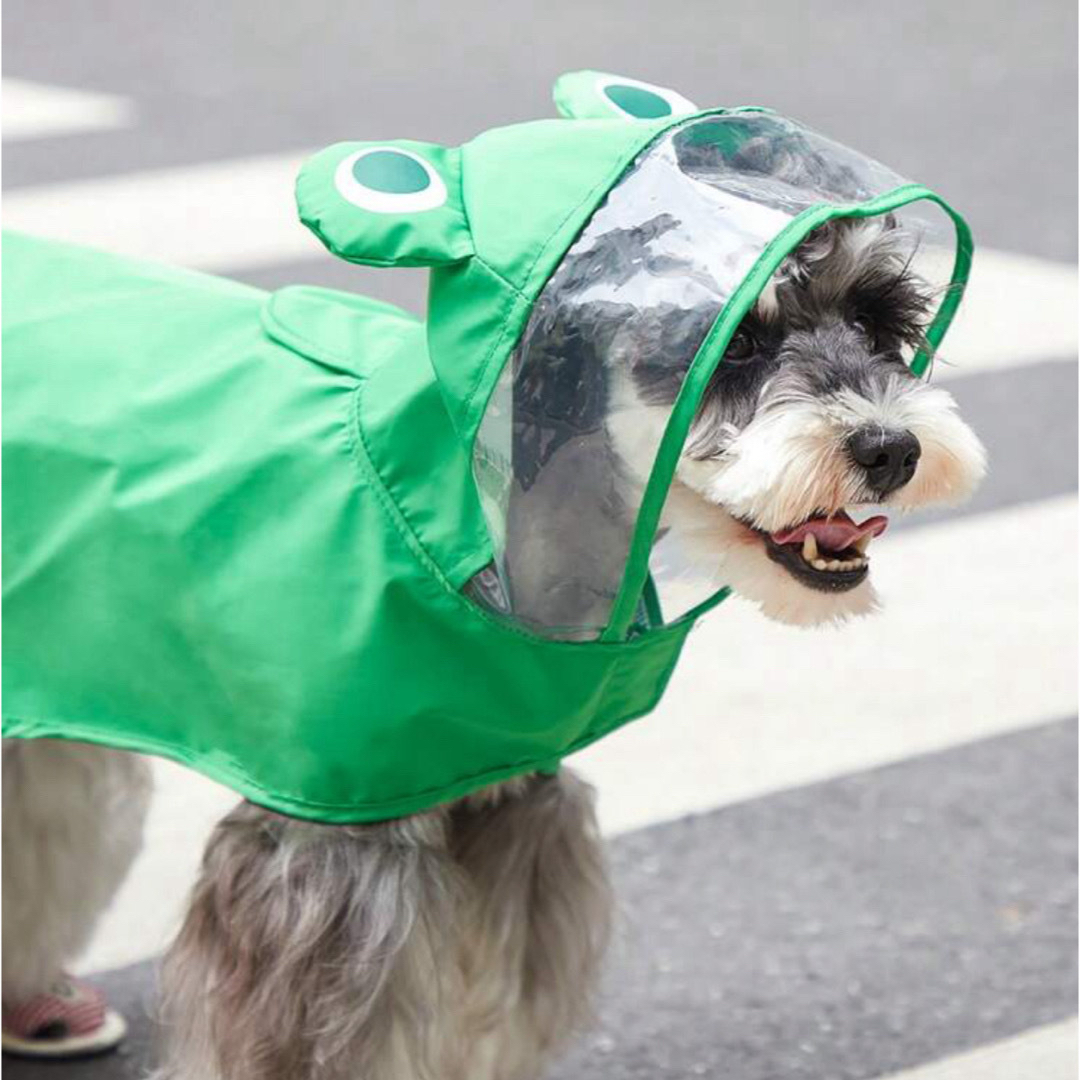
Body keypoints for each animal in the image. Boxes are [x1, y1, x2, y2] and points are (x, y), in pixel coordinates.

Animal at [0, 212, 984, 1080]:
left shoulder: (509, 809)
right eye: (733, 343)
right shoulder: (327, 857)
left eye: (877, 321)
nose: (890, 449)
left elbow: (487, 1019)